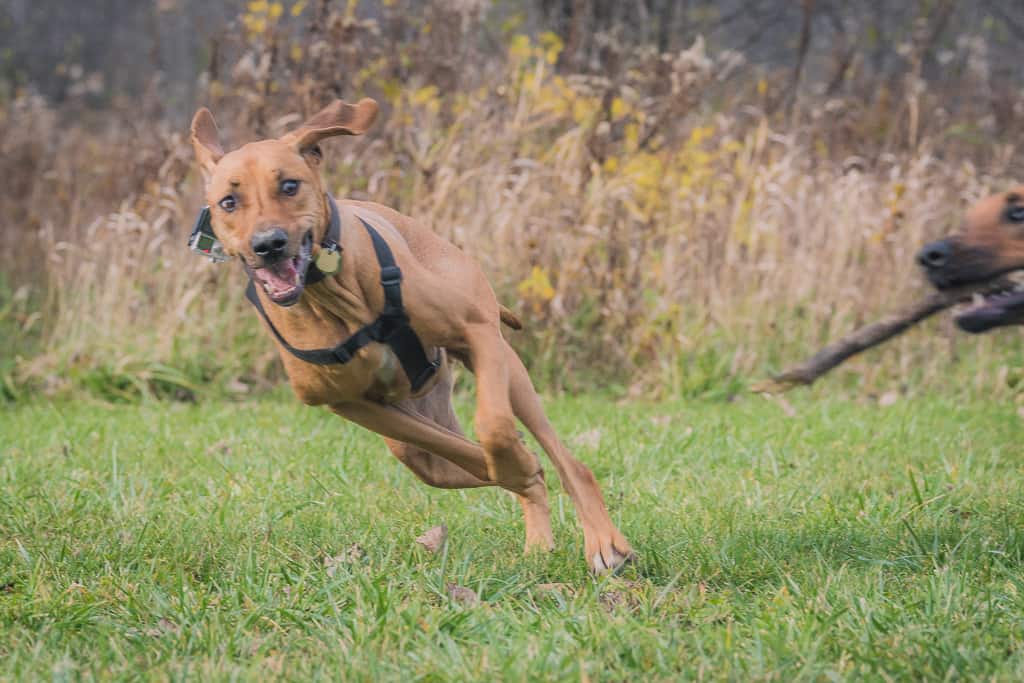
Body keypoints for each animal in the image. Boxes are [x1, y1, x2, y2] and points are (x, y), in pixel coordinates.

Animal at [186, 98, 630, 573]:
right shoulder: (350, 404)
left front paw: (514, 459)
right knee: (475, 460)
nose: (269, 244)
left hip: (509, 367)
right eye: (228, 202)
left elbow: (492, 425)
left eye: (289, 185)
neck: (334, 297)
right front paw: (515, 467)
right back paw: (537, 539)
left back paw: (603, 542)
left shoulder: (477, 334)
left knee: (566, 461)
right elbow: (471, 451)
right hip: (416, 451)